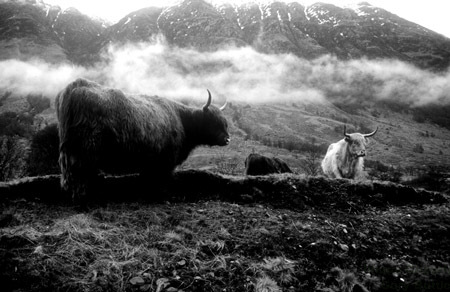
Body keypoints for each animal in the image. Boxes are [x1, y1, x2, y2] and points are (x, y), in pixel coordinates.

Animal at [56, 77, 230, 201]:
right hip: (85, 150)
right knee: (79, 173)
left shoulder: (152, 161)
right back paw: (83, 197)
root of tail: (75, 87)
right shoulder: (166, 160)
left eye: (225, 123)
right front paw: (162, 195)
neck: (182, 119)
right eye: (213, 121)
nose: (228, 139)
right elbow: (161, 179)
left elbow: (147, 178)